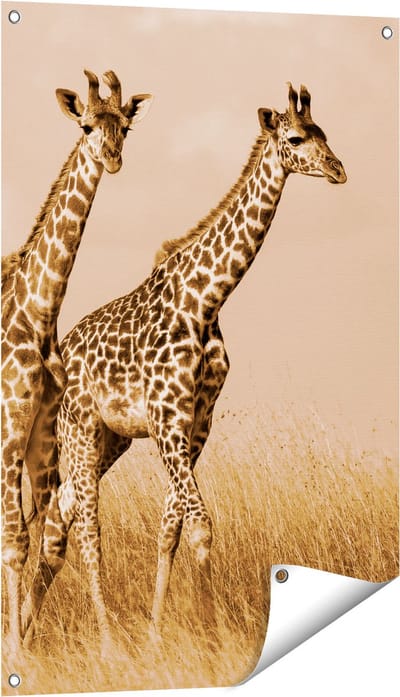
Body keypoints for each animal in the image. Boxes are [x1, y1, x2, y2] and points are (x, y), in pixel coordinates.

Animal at [1, 69, 153, 652]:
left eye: (125, 127)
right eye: (86, 125)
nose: (111, 157)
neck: (39, 313)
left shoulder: (43, 434)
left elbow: (41, 535)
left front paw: (21, 642)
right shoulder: (11, 423)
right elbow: (14, 537)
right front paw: (15, 648)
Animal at [24, 84, 346, 651]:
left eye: (324, 133)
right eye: (295, 138)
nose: (338, 169)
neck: (206, 300)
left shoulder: (196, 422)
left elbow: (170, 526)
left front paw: (157, 634)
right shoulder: (166, 417)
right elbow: (199, 524)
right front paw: (212, 632)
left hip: (112, 439)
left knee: (60, 517)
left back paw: (24, 630)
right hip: (80, 431)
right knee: (84, 525)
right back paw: (106, 643)